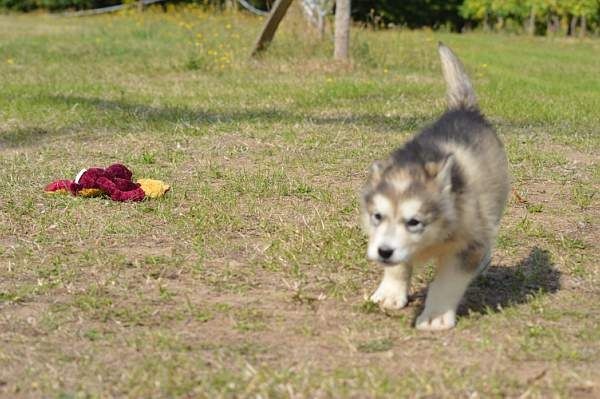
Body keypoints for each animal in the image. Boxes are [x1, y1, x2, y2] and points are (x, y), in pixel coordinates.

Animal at [360, 43, 510, 332]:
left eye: (414, 222)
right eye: (377, 217)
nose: (383, 251)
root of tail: (463, 108)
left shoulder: (467, 246)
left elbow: (446, 283)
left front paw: (436, 317)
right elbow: (398, 266)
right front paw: (390, 293)